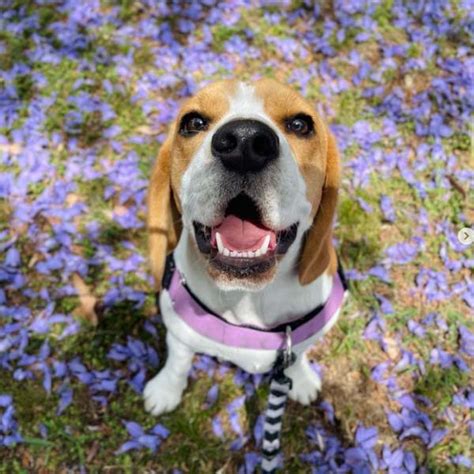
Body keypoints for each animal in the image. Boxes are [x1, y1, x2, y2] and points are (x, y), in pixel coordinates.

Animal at [143, 79, 346, 416]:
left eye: (300, 124)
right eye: (193, 122)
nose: (245, 143)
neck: (248, 297)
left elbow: (299, 355)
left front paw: (302, 379)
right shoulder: (179, 329)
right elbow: (178, 362)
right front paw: (166, 389)